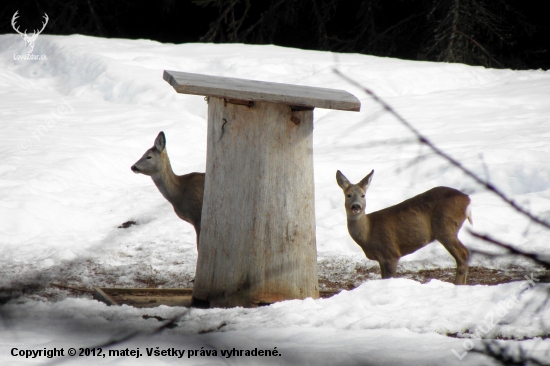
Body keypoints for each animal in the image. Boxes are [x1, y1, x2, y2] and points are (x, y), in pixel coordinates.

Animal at [338, 170, 472, 284]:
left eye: (363, 195)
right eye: (348, 195)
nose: (356, 206)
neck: (368, 233)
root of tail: (467, 199)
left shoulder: (390, 253)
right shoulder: (382, 259)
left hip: (445, 227)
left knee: (463, 253)